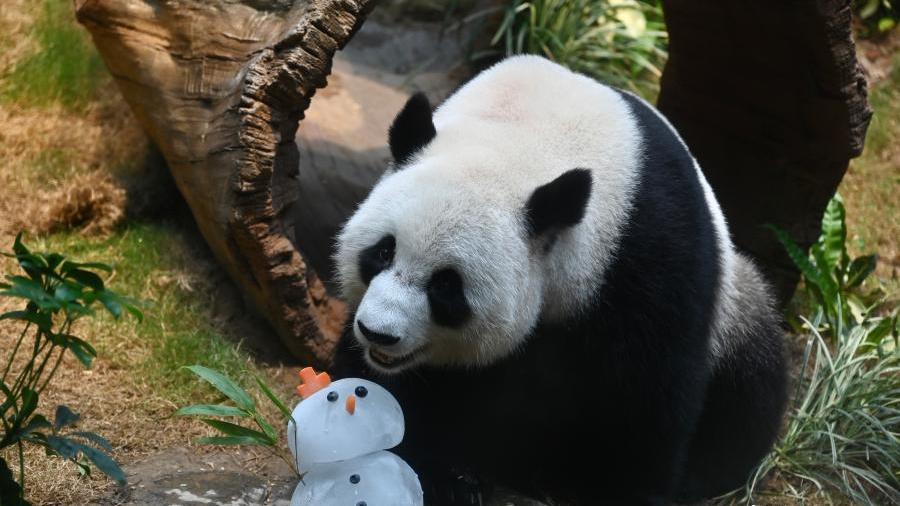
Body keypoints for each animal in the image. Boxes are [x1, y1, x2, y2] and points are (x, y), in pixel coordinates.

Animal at [330, 56, 788, 506]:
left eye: (445, 287)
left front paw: (624, 492)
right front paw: (442, 476)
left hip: (735, 307)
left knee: (751, 381)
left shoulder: (648, 253)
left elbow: (648, 392)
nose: (378, 333)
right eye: (383, 252)